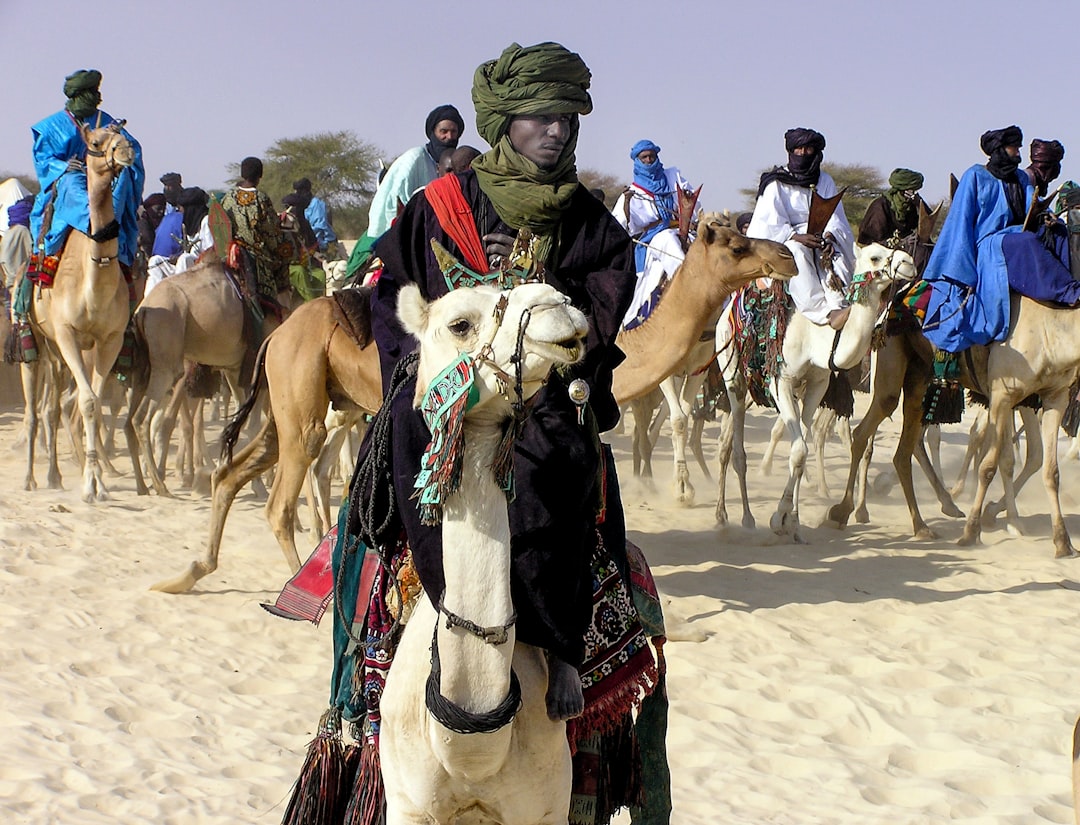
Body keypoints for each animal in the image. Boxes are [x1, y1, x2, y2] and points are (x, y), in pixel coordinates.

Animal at [27, 119, 135, 498]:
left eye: (124, 135)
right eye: (97, 141)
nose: (126, 152)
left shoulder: (110, 339)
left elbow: (96, 403)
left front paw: (98, 480)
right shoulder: (66, 333)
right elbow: (88, 402)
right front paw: (90, 485)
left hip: (61, 353)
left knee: (55, 406)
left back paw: (57, 474)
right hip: (42, 343)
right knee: (41, 408)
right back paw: (36, 478)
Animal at [717, 242, 911, 542]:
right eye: (875, 257)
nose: (909, 263)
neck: (816, 338)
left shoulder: (817, 385)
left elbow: (800, 452)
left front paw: (793, 523)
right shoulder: (782, 381)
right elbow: (799, 451)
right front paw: (778, 519)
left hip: (753, 388)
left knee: (727, 440)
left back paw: (726, 514)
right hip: (733, 374)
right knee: (736, 446)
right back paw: (741, 518)